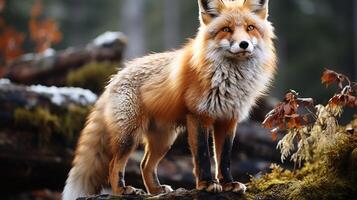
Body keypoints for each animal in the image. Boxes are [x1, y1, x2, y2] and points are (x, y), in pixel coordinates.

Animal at [62, 0, 276, 198]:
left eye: (250, 28)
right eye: (226, 29)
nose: (243, 44)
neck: (229, 81)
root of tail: (114, 77)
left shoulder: (228, 119)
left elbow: (224, 159)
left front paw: (228, 184)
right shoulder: (199, 116)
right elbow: (203, 156)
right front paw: (207, 184)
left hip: (163, 140)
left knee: (145, 165)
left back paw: (156, 190)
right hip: (130, 136)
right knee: (115, 165)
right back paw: (122, 190)